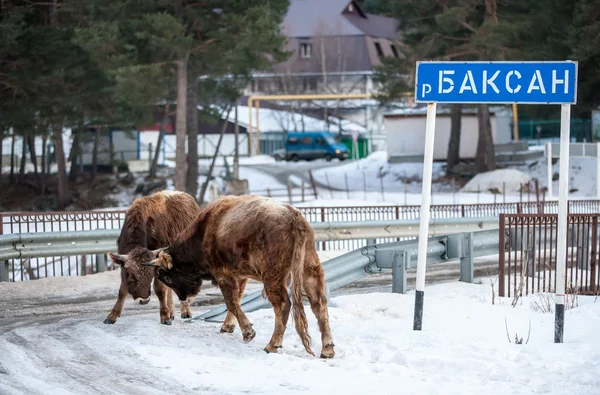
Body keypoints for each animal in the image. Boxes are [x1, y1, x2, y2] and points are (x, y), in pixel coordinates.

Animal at [105, 191, 202, 324]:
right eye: (132, 276)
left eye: (150, 276)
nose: (143, 300)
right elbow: (122, 290)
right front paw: (112, 315)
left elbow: (160, 289)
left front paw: (165, 316)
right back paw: (172, 311)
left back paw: (185, 311)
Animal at [144, 195, 336, 358]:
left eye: (167, 277)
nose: (184, 297)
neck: (205, 230)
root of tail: (294, 218)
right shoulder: (240, 276)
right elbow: (236, 299)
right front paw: (228, 326)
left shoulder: (223, 275)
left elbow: (231, 301)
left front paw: (248, 332)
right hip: (309, 270)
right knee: (318, 303)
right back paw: (327, 350)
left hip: (273, 278)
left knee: (283, 304)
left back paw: (272, 345)